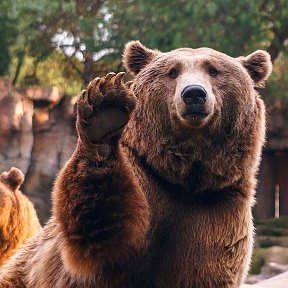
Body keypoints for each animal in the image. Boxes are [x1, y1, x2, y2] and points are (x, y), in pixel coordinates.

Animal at [0, 41, 272, 288]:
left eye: (213, 70)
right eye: (172, 71)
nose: (194, 94)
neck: (185, 178)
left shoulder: (216, 212)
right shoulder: (142, 179)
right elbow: (99, 227)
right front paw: (105, 110)